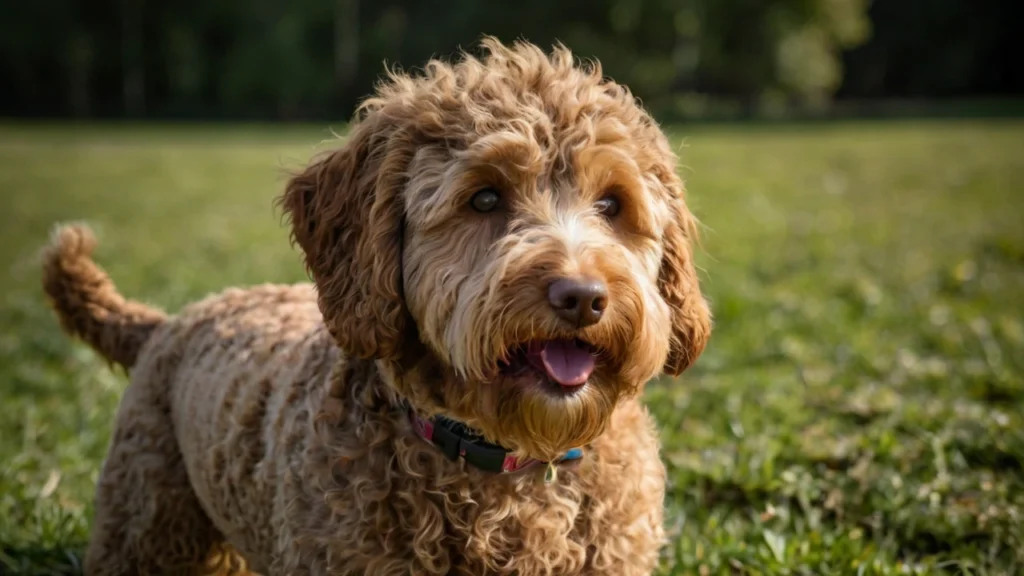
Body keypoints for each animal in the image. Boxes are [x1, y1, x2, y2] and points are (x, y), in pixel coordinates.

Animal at [39, 38, 712, 569]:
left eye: (612, 204)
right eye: (485, 199)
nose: (582, 297)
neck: (512, 464)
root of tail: (171, 322)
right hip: (145, 522)